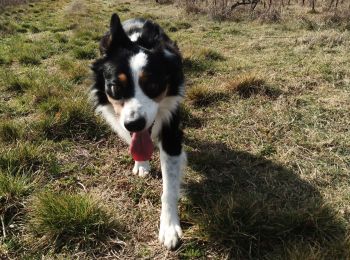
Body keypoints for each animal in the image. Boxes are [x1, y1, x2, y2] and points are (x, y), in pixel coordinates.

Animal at [90, 13, 186, 249]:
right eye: (115, 87)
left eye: (152, 85)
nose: (134, 124)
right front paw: (141, 163)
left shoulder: (172, 129)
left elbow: (169, 186)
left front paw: (169, 227)